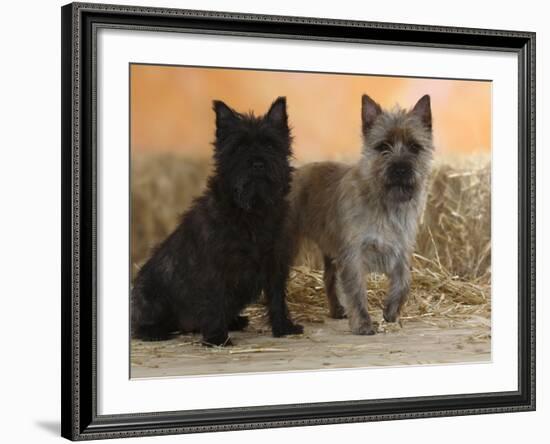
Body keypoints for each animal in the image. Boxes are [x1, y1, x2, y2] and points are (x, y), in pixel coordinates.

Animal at [132, 98, 304, 346]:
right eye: (239, 147)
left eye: (271, 145)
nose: (257, 163)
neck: (252, 211)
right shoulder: (214, 267)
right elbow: (214, 300)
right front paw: (216, 338)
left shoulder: (275, 262)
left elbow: (277, 297)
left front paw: (283, 327)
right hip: (151, 293)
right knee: (141, 323)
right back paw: (155, 331)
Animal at [288, 95, 436, 334]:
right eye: (383, 146)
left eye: (415, 147)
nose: (401, 168)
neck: (386, 204)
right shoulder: (354, 255)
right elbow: (357, 292)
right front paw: (363, 323)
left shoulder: (401, 251)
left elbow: (404, 282)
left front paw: (391, 311)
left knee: (329, 277)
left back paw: (336, 309)